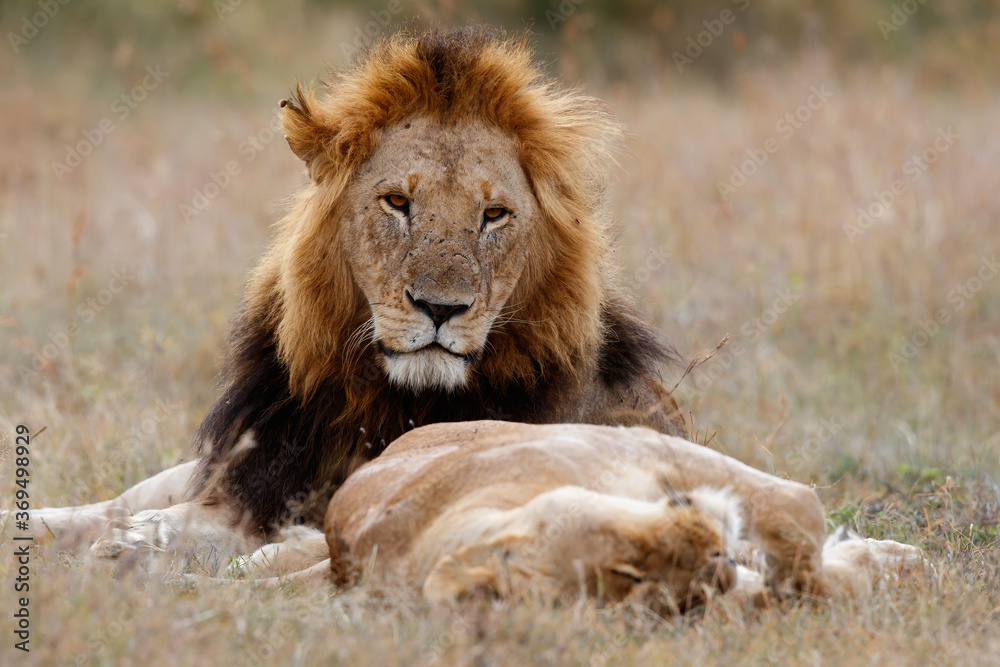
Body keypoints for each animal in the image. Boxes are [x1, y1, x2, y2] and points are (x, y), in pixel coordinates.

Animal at [12, 28, 687, 566]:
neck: (371, 398)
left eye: (494, 215)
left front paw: (137, 548)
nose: (441, 309)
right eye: (396, 202)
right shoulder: (251, 474)